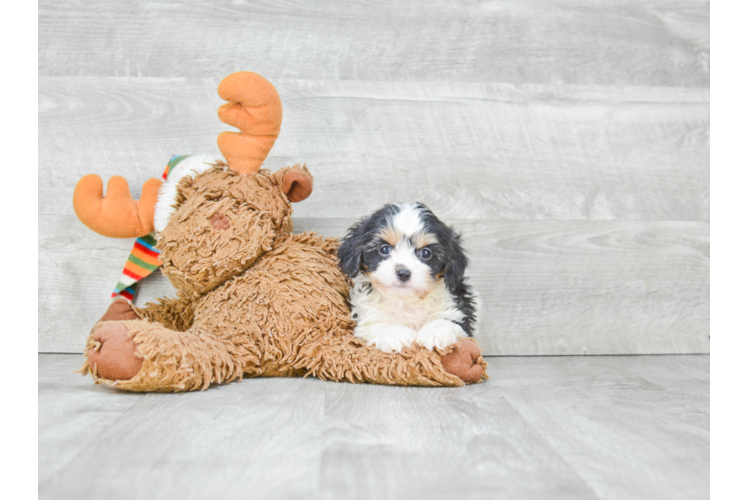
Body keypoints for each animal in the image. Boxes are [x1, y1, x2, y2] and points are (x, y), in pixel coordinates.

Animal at [338, 201, 476, 354]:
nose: (403, 273)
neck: (405, 301)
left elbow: (450, 317)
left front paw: (436, 330)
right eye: (384, 249)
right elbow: (375, 322)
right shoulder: (366, 314)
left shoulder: (457, 305)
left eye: (426, 253)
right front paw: (395, 333)